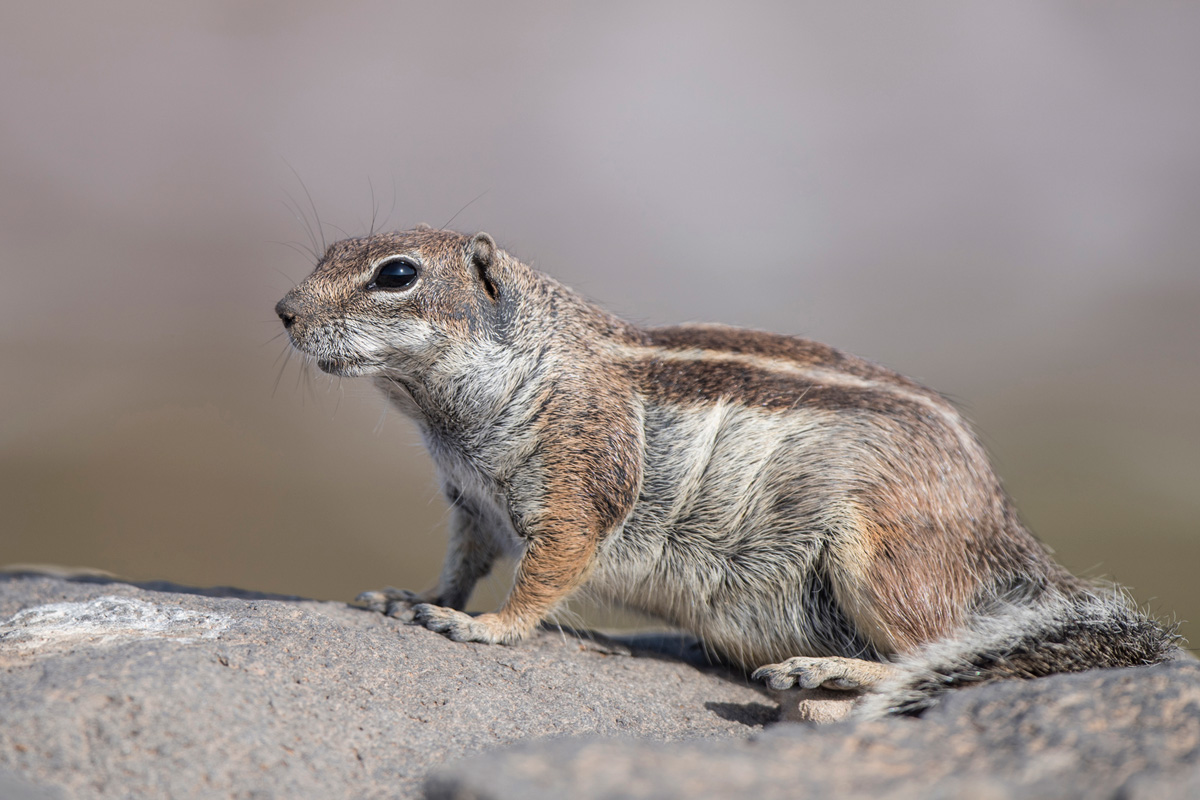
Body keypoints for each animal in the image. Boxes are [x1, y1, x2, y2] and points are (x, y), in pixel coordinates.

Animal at [278, 227, 1180, 714]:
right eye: (326, 254)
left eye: (397, 274)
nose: (283, 310)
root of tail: (1003, 530)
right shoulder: (471, 504)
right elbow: (462, 564)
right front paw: (413, 597)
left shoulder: (578, 481)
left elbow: (547, 572)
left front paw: (485, 627)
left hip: (884, 559)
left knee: (941, 648)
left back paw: (827, 670)